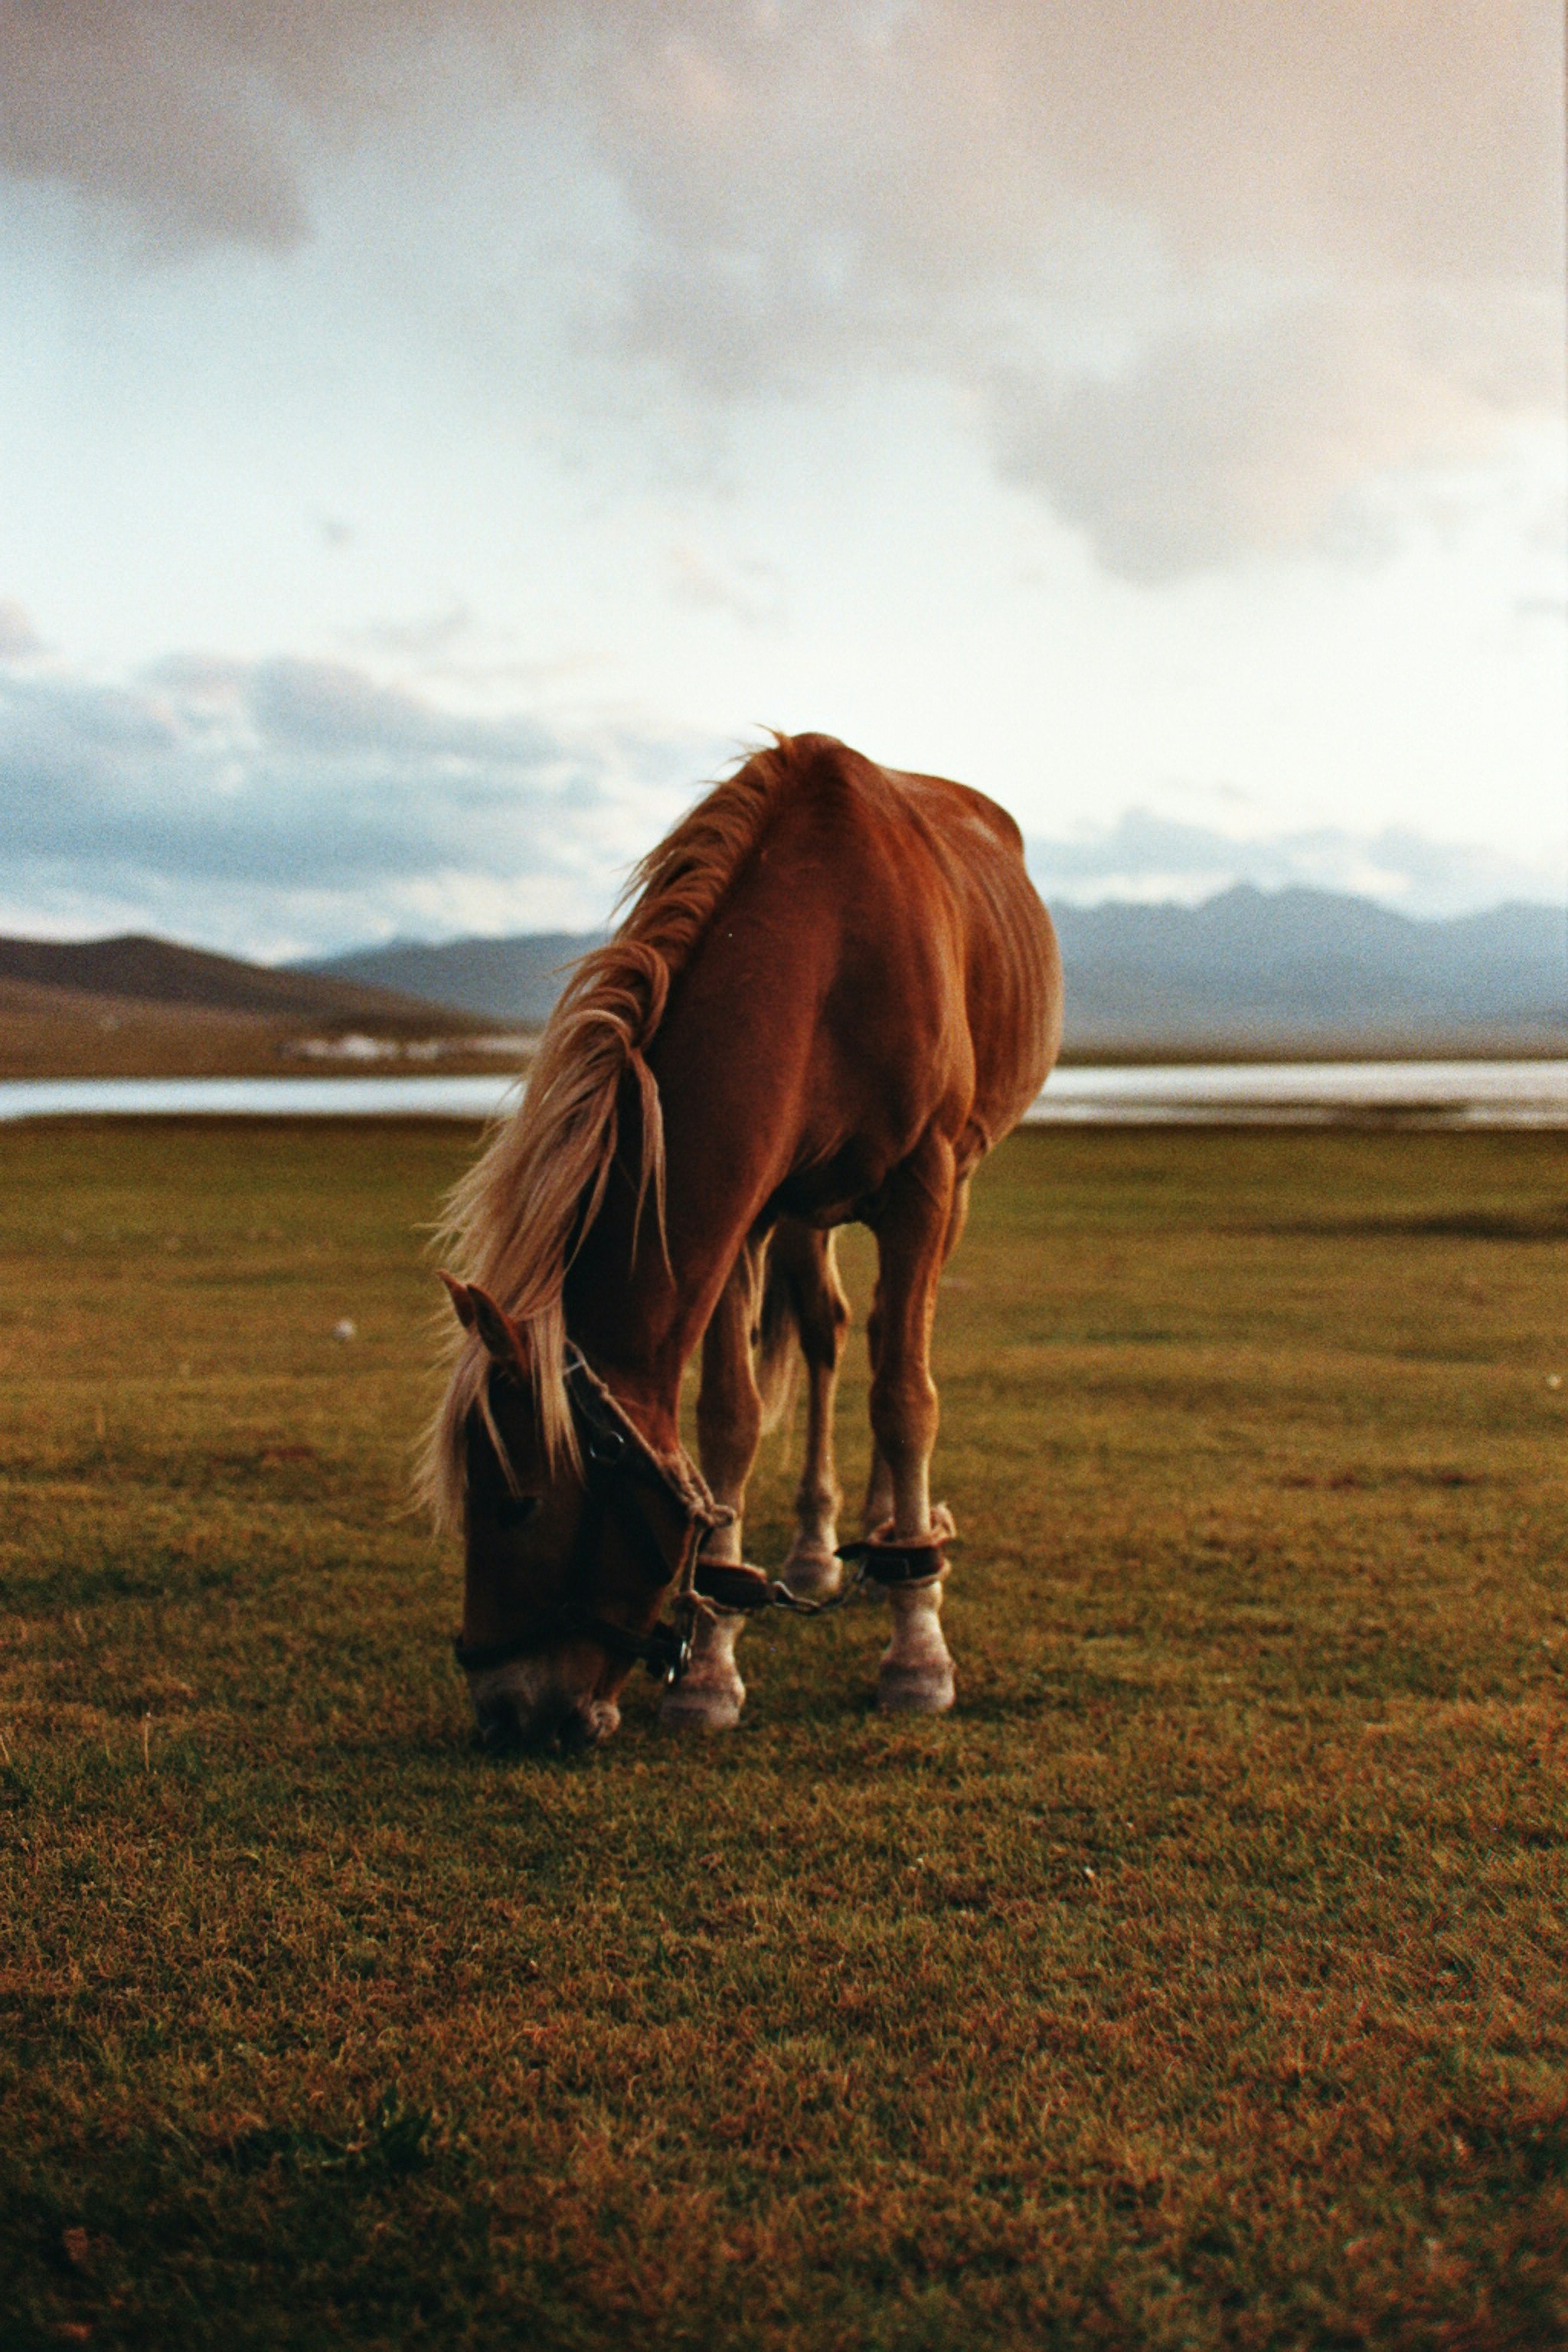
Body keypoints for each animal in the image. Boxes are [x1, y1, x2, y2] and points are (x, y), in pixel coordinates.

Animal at [422, 731, 1061, 1749]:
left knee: (885, 1346)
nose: (507, 1712)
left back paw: (894, 1535)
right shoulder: (748, 1210)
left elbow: (906, 1400)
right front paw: (711, 1661)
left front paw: (917, 1650)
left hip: (953, 1186)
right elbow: (729, 1414)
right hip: (806, 1215)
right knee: (830, 1333)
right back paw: (818, 1550)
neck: (832, 951)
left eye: (517, 1505)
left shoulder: (923, 1186)